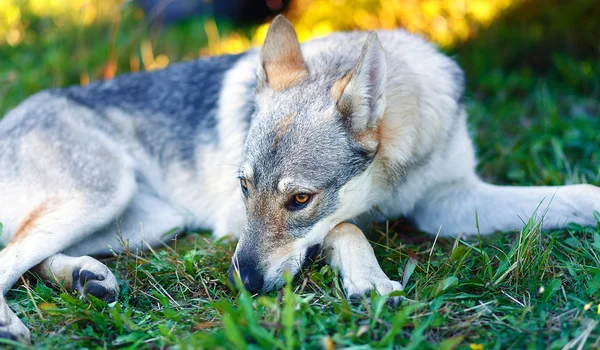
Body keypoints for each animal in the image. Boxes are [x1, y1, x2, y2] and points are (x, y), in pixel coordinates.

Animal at [1, 16, 600, 342]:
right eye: (243, 188)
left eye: (300, 199)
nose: (241, 284)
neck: (393, 175)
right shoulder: (263, 221)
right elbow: (347, 227)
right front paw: (369, 280)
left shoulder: (448, 201)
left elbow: (573, 195)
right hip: (103, 197)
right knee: (10, 256)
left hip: (144, 220)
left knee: (27, 256)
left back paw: (85, 277)